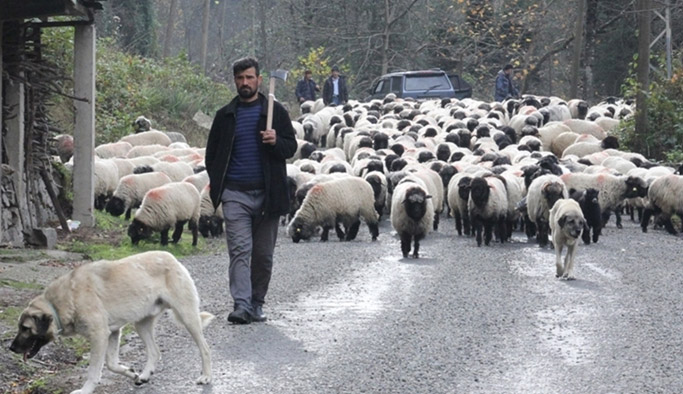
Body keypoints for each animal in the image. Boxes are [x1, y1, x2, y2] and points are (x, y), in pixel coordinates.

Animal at [10, 251, 214, 392]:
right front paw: (131, 372)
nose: (11, 348)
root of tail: (170, 257)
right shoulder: (113, 333)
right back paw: (145, 375)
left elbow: (94, 370)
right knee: (155, 351)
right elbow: (111, 364)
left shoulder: (99, 336)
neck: (61, 302)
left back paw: (206, 376)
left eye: (25, 328)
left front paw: (85, 390)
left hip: (187, 317)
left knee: (205, 348)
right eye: (19, 327)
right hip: (141, 324)